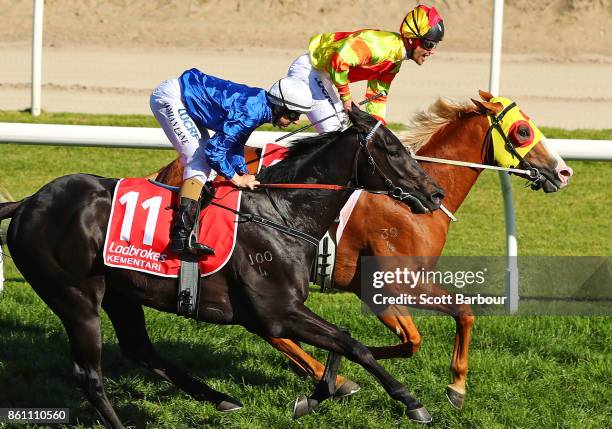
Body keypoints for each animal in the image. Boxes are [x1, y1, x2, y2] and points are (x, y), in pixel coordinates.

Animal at [153, 92, 572, 410]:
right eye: (522, 131)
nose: (563, 172)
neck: (406, 205)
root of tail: (168, 171)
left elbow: (434, 328)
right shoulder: (388, 286)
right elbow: (426, 333)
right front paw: (454, 388)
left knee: (265, 326)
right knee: (268, 325)